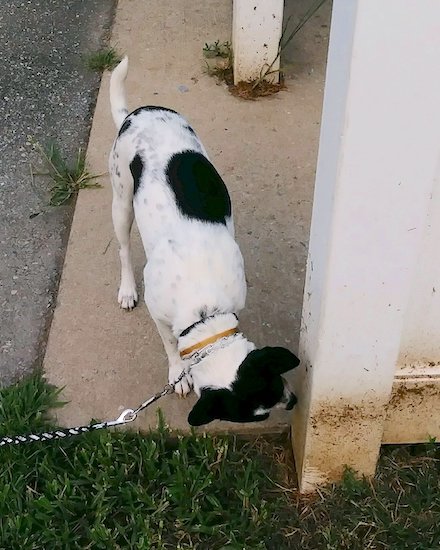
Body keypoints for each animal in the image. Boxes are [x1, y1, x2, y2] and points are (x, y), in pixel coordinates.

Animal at [108, 57, 300, 426]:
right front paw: (177, 373)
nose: (294, 402)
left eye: (279, 382)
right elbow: (170, 345)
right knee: (123, 250)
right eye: (257, 419)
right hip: (121, 201)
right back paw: (126, 289)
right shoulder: (160, 315)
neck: (204, 309)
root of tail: (136, 112)